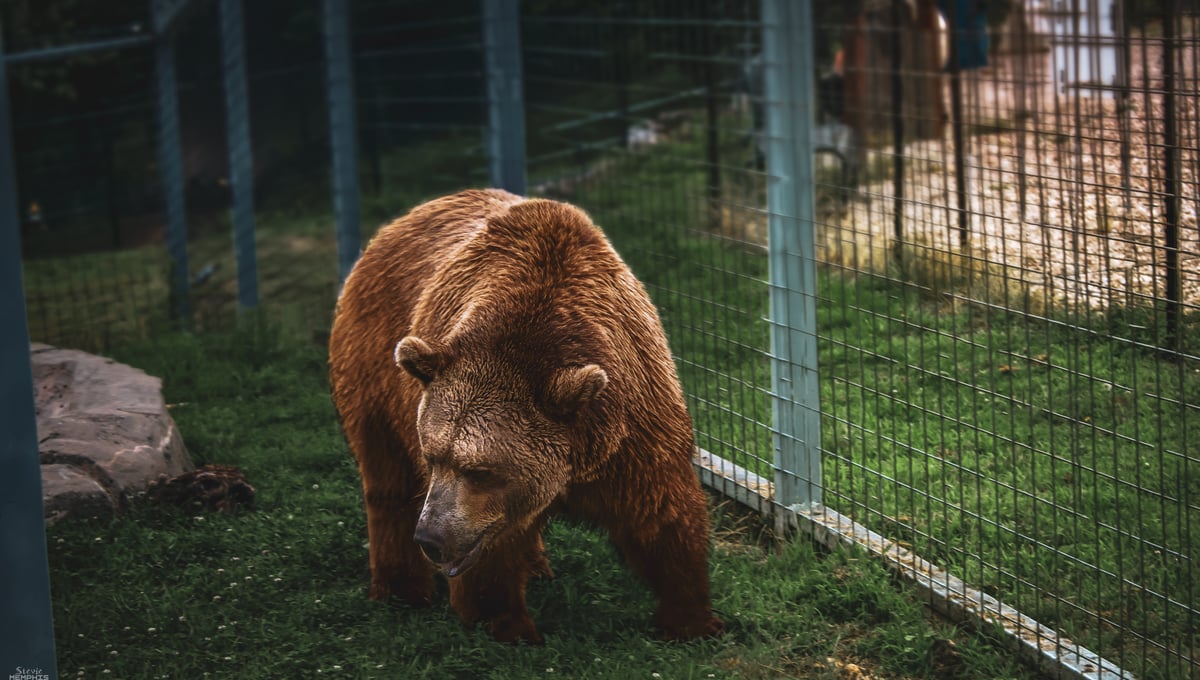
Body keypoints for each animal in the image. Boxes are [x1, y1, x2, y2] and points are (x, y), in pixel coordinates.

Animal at [328, 189, 722, 643]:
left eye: (479, 470)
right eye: (433, 457)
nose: (430, 537)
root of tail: (400, 222)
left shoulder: (632, 423)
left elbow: (661, 514)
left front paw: (692, 619)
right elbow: (491, 554)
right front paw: (508, 623)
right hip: (375, 365)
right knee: (387, 478)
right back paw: (402, 589)